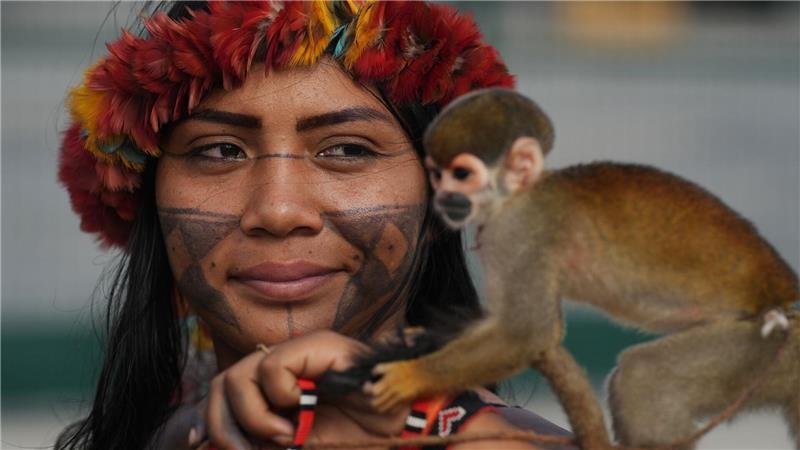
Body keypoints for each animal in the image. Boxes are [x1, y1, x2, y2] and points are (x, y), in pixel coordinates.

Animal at [365, 88, 799, 450]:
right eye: (436, 175)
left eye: (462, 175)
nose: (443, 198)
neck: (516, 196)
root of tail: (787, 297)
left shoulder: (521, 233)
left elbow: (526, 334)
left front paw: (412, 375)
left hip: (760, 348)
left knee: (645, 378)